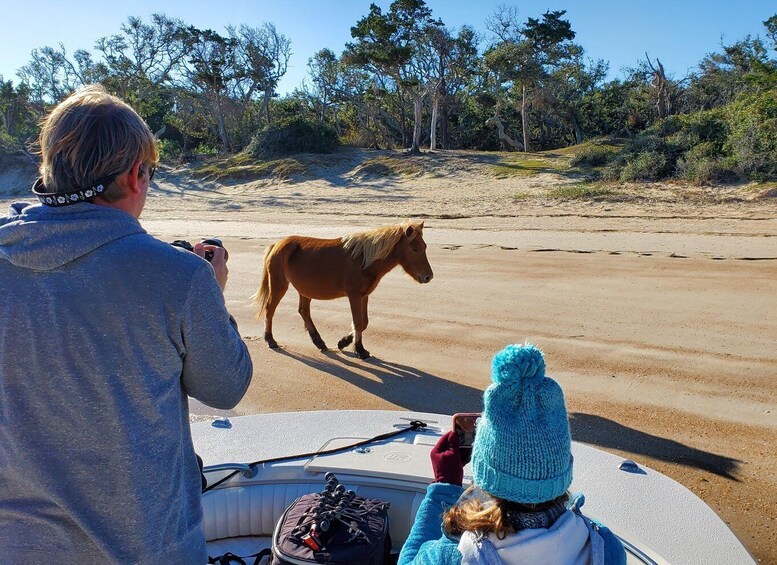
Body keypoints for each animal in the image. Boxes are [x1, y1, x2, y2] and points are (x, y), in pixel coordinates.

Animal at [252, 221, 433, 359]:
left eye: (424, 246)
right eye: (414, 249)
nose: (428, 277)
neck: (363, 259)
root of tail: (277, 244)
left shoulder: (364, 296)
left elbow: (364, 322)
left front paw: (344, 342)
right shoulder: (354, 296)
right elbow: (358, 322)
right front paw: (360, 350)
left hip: (305, 290)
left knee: (304, 311)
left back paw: (319, 342)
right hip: (279, 285)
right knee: (270, 309)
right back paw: (270, 340)